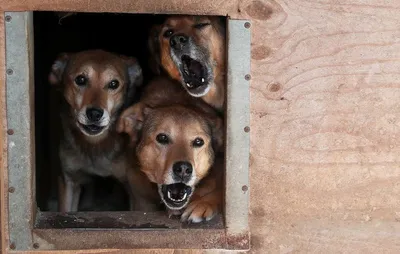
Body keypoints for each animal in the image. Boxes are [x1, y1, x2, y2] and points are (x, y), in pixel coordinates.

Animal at [49, 49, 150, 212]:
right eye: (81, 79)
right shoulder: (68, 180)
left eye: (114, 84)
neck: (95, 144)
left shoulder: (136, 192)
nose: (95, 114)